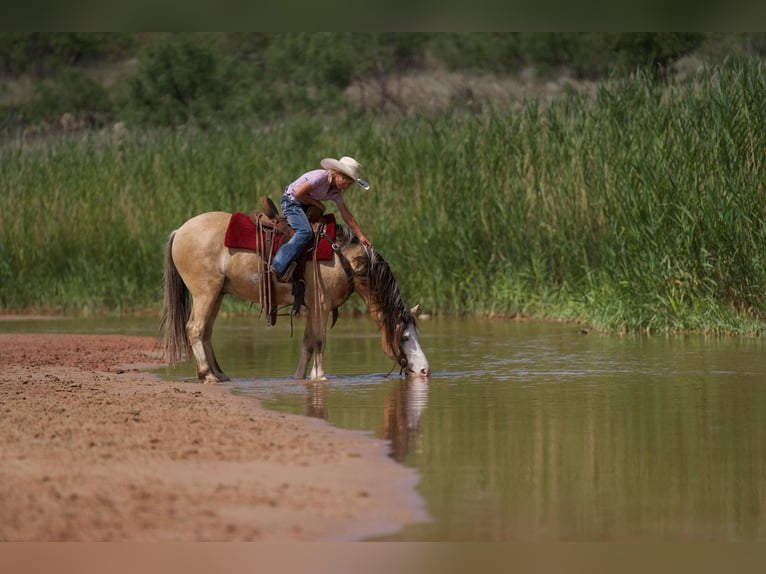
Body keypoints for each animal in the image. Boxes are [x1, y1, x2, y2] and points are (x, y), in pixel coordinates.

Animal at [161, 211, 431, 382]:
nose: (425, 370)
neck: (346, 260)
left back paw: (218, 373)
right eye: (405, 337)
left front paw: (300, 377)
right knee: (195, 329)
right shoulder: (321, 305)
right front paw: (320, 377)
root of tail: (179, 231)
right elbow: (319, 341)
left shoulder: (313, 307)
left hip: (216, 295)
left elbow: (307, 342)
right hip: (205, 293)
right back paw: (207, 374)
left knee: (206, 332)